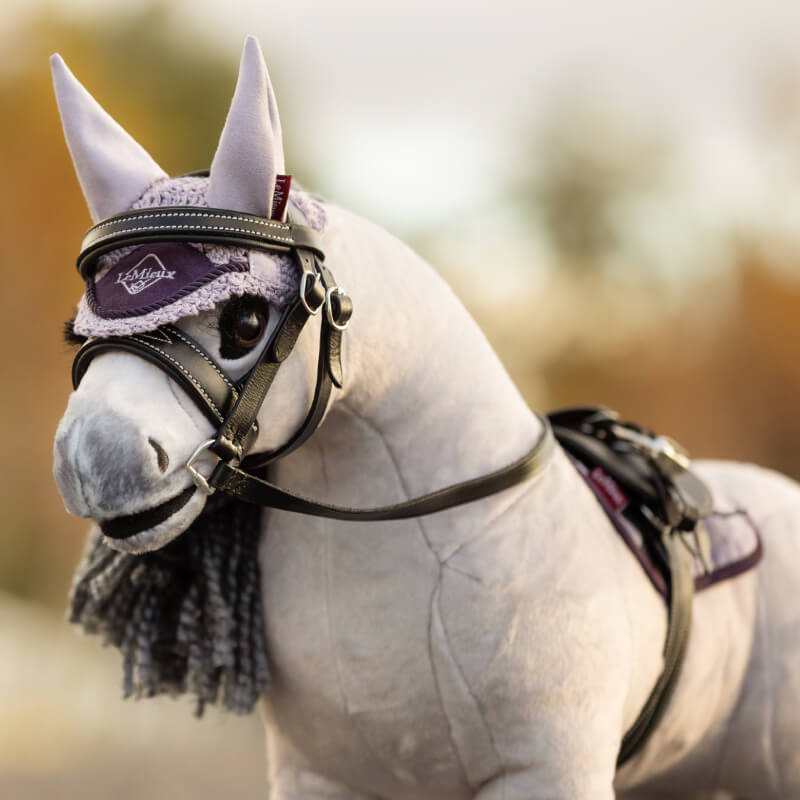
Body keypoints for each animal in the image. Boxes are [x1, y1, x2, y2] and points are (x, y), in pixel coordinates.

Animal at [51, 36, 800, 800]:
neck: (430, 539)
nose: (90, 461)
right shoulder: (320, 775)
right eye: (79, 333)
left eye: (245, 321)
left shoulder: (548, 773)